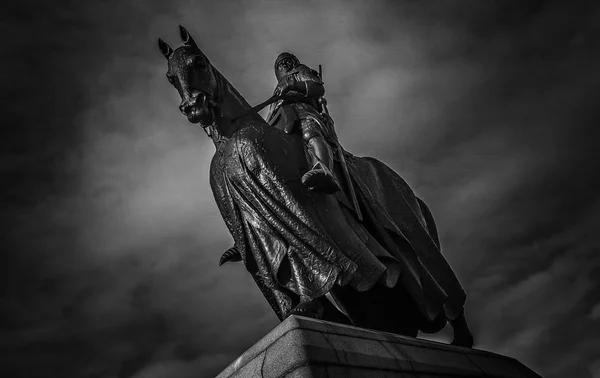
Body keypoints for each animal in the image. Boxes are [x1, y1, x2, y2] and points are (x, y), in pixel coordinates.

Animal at [158, 25, 474, 346]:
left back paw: (462, 339)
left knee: (445, 286)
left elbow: (302, 250)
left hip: (415, 232)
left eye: (198, 62)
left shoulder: (289, 206)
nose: (193, 107)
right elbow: (271, 268)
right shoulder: (250, 224)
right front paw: (298, 311)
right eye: (170, 76)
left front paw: (308, 305)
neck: (233, 135)